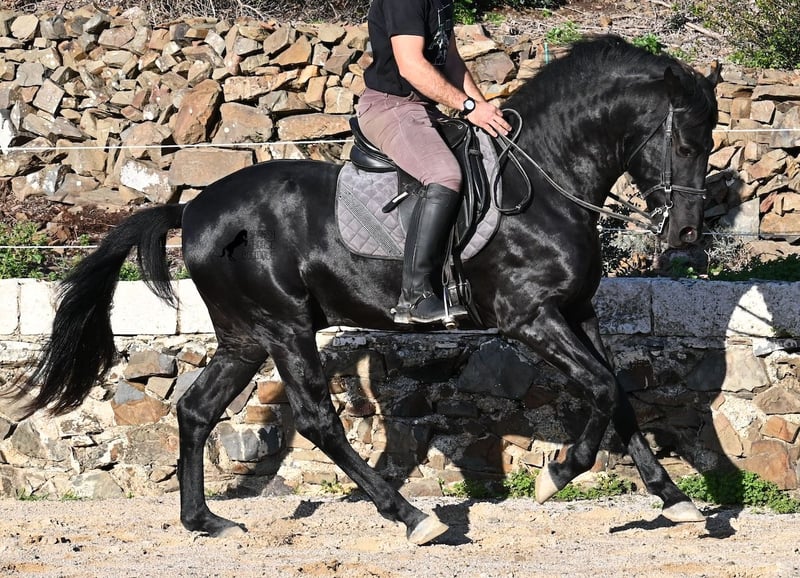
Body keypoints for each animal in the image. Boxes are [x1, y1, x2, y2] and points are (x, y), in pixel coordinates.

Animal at [20, 36, 720, 545]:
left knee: (195, 409)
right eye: (686, 142)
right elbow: (599, 388)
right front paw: (558, 474)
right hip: (285, 327)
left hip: (246, 335)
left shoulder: (579, 313)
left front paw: (675, 500)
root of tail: (192, 210)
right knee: (316, 419)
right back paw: (412, 516)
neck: (545, 182)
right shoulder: (531, 318)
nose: (687, 232)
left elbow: (618, 392)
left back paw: (205, 521)